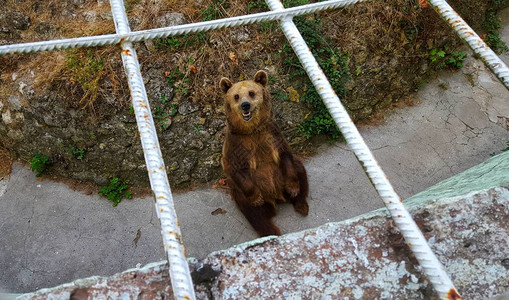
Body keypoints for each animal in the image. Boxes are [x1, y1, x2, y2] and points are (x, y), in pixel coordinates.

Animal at [217, 70, 308, 237]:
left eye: (251, 93)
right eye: (236, 96)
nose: (245, 105)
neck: (252, 130)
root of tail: (276, 196)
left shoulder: (272, 133)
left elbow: (285, 153)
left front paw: (293, 188)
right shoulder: (236, 144)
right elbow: (233, 166)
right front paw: (256, 198)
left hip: (282, 175)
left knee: (298, 167)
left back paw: (301, 204)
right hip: (240, 192)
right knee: (254, 213)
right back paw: (270, 230)